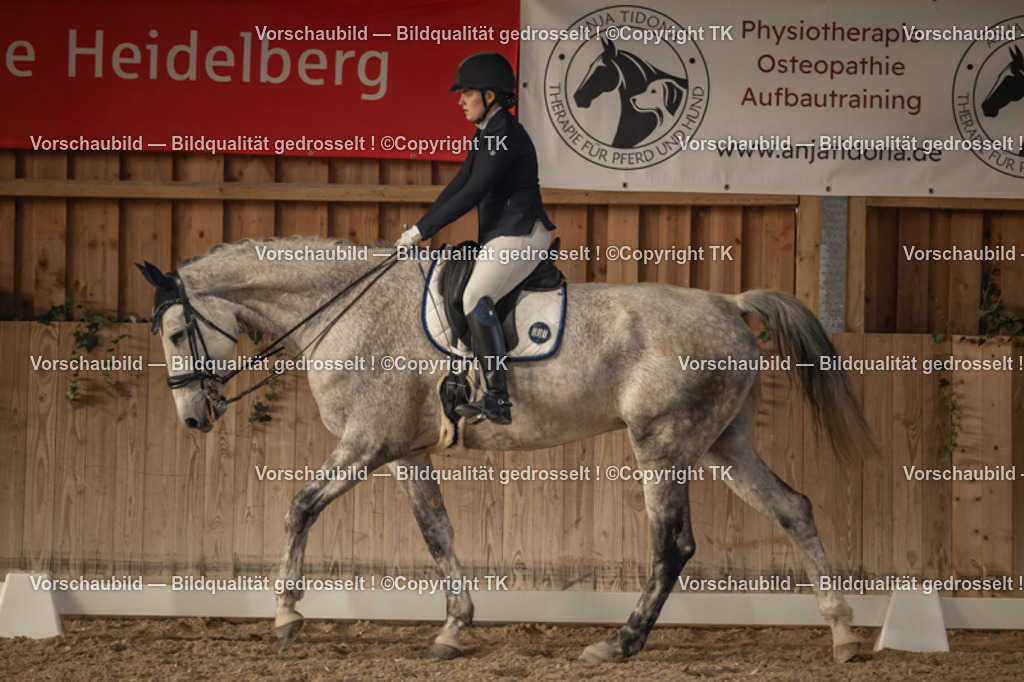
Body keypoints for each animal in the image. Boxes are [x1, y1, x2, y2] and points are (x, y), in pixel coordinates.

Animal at [138, 235, 873, 664]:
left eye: (175, 333)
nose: (192, 418)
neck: (346, 310)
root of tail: (726, 301)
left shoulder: (366, 443)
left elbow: (299, 508)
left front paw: (287, 617)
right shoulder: (405, 453)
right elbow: (436, 532)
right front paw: (453, 628)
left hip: (664, 446)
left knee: (674, 545)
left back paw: (619, 643)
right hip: (722, 443)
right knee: (794, 509)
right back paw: (841, 633)